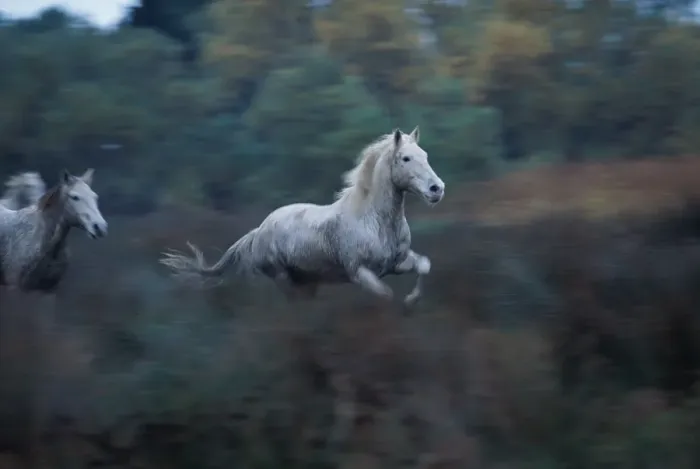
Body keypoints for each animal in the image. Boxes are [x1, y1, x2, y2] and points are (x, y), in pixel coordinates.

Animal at [161, 127, 444, 304]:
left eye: (425, 155)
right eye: (405, 158)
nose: (437, 189)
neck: (374, 220)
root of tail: (259, 230)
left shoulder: (398, 263)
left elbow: (425, 265)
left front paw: (411, 303)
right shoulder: (360, 272)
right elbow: (385, 295)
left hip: (307, 281)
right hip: (284, 279)